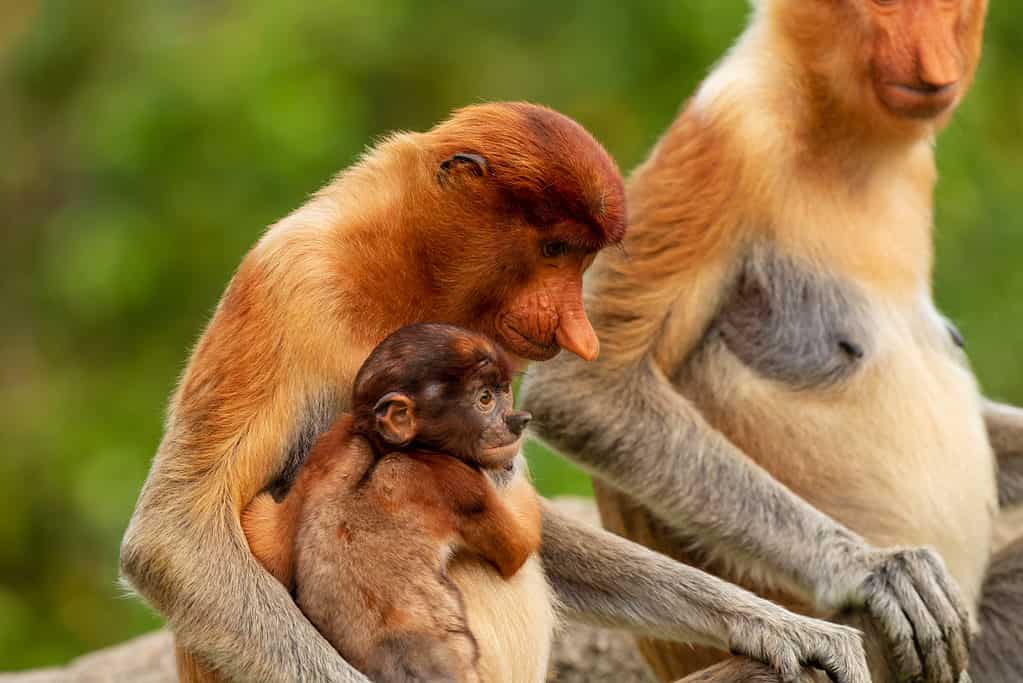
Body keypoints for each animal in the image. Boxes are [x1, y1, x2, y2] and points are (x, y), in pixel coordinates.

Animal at [121, 101, 871, 683]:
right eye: (554, 250)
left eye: (582, 257)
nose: (576, 329)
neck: (397, 266)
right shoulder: (288, 284)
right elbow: (173, 537)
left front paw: (778, 625)